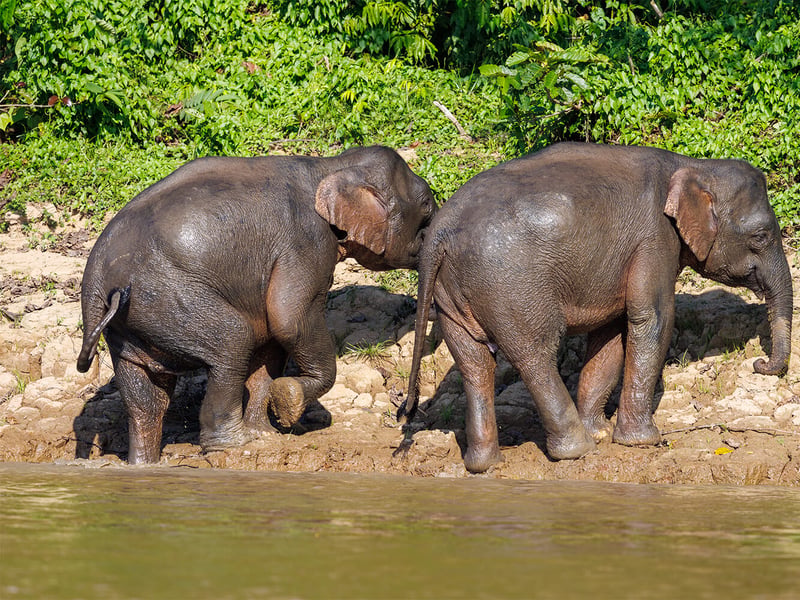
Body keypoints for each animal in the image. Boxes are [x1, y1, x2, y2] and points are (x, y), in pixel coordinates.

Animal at [77, 145, 435, 464]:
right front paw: (288, 402)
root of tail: (98, 281)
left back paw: (144, 463)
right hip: (168, 296)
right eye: (428, 207)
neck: (330, 166)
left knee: (146, 398)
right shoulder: (306, 242)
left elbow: (271, 342)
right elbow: (289, 317)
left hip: (128, 325)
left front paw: (267, 433)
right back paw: (232, 444)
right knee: (232, 341)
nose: (403, 412)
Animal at [398, 142, 793, 474]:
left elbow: (611, 334)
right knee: (535, 356)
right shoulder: (654, 238)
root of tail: (437, 235)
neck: (693, 165)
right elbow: (652, 318)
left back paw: (485, 465)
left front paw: (602, 431)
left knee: (475, 365)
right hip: (511, 288)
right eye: (760, 236)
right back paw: (577, 450)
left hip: (451, 296)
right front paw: (642, 442)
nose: (760, 364)